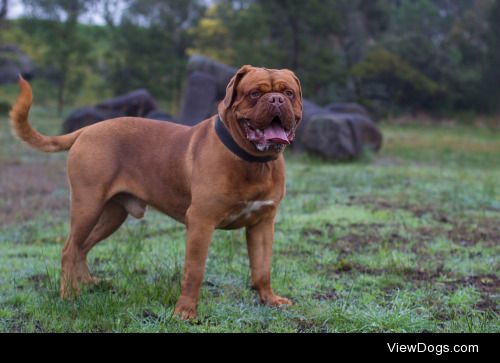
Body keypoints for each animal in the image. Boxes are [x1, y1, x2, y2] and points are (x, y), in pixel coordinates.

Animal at [9, 65, 302, 322]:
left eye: (289, 93)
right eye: (254, 93)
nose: (276, 99)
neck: (253, 162)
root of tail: (87, 129)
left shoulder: (263, 223)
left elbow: (262, 268)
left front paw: (270, 300)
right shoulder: (201, 222)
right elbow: (194, 271)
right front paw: (185, 312)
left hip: (111, 215)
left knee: (82, 247)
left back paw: (88, 283)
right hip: (87, 205)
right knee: (69, 249)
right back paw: (69, 295)